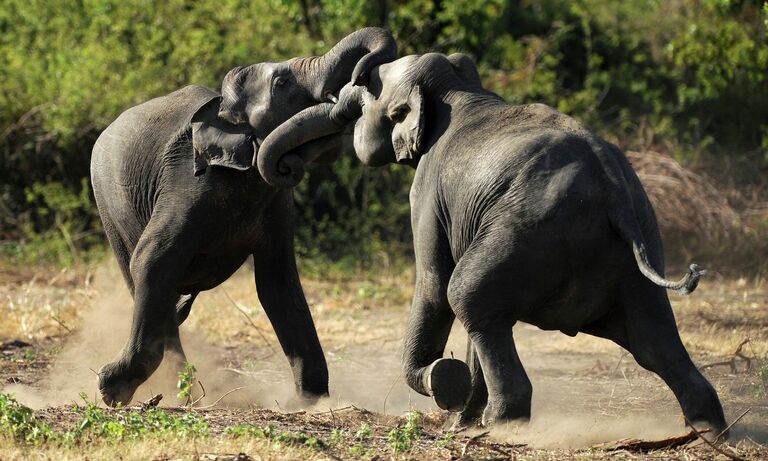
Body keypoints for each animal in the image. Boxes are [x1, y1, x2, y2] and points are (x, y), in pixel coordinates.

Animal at [90, 27, 396, 404]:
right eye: (281, 82)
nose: (358, 80)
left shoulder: (275, 203)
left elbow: (278, 285)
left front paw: (312, 403)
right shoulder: (187, 182)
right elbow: (153, 259)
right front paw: (110, 388)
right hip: (107, 204)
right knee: (141, 278)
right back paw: (183, 392)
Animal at [250, 53, 728, 432]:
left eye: (364, 92)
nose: (289, 167)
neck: (457, 89)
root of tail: (612, 189)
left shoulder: (427, 192)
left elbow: (434, 283)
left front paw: (446, 385)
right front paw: (461, 420)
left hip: (532, 229)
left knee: (466, 294)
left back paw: (503, 425)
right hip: (630, 245)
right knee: (652, 339)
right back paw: (706, 431)